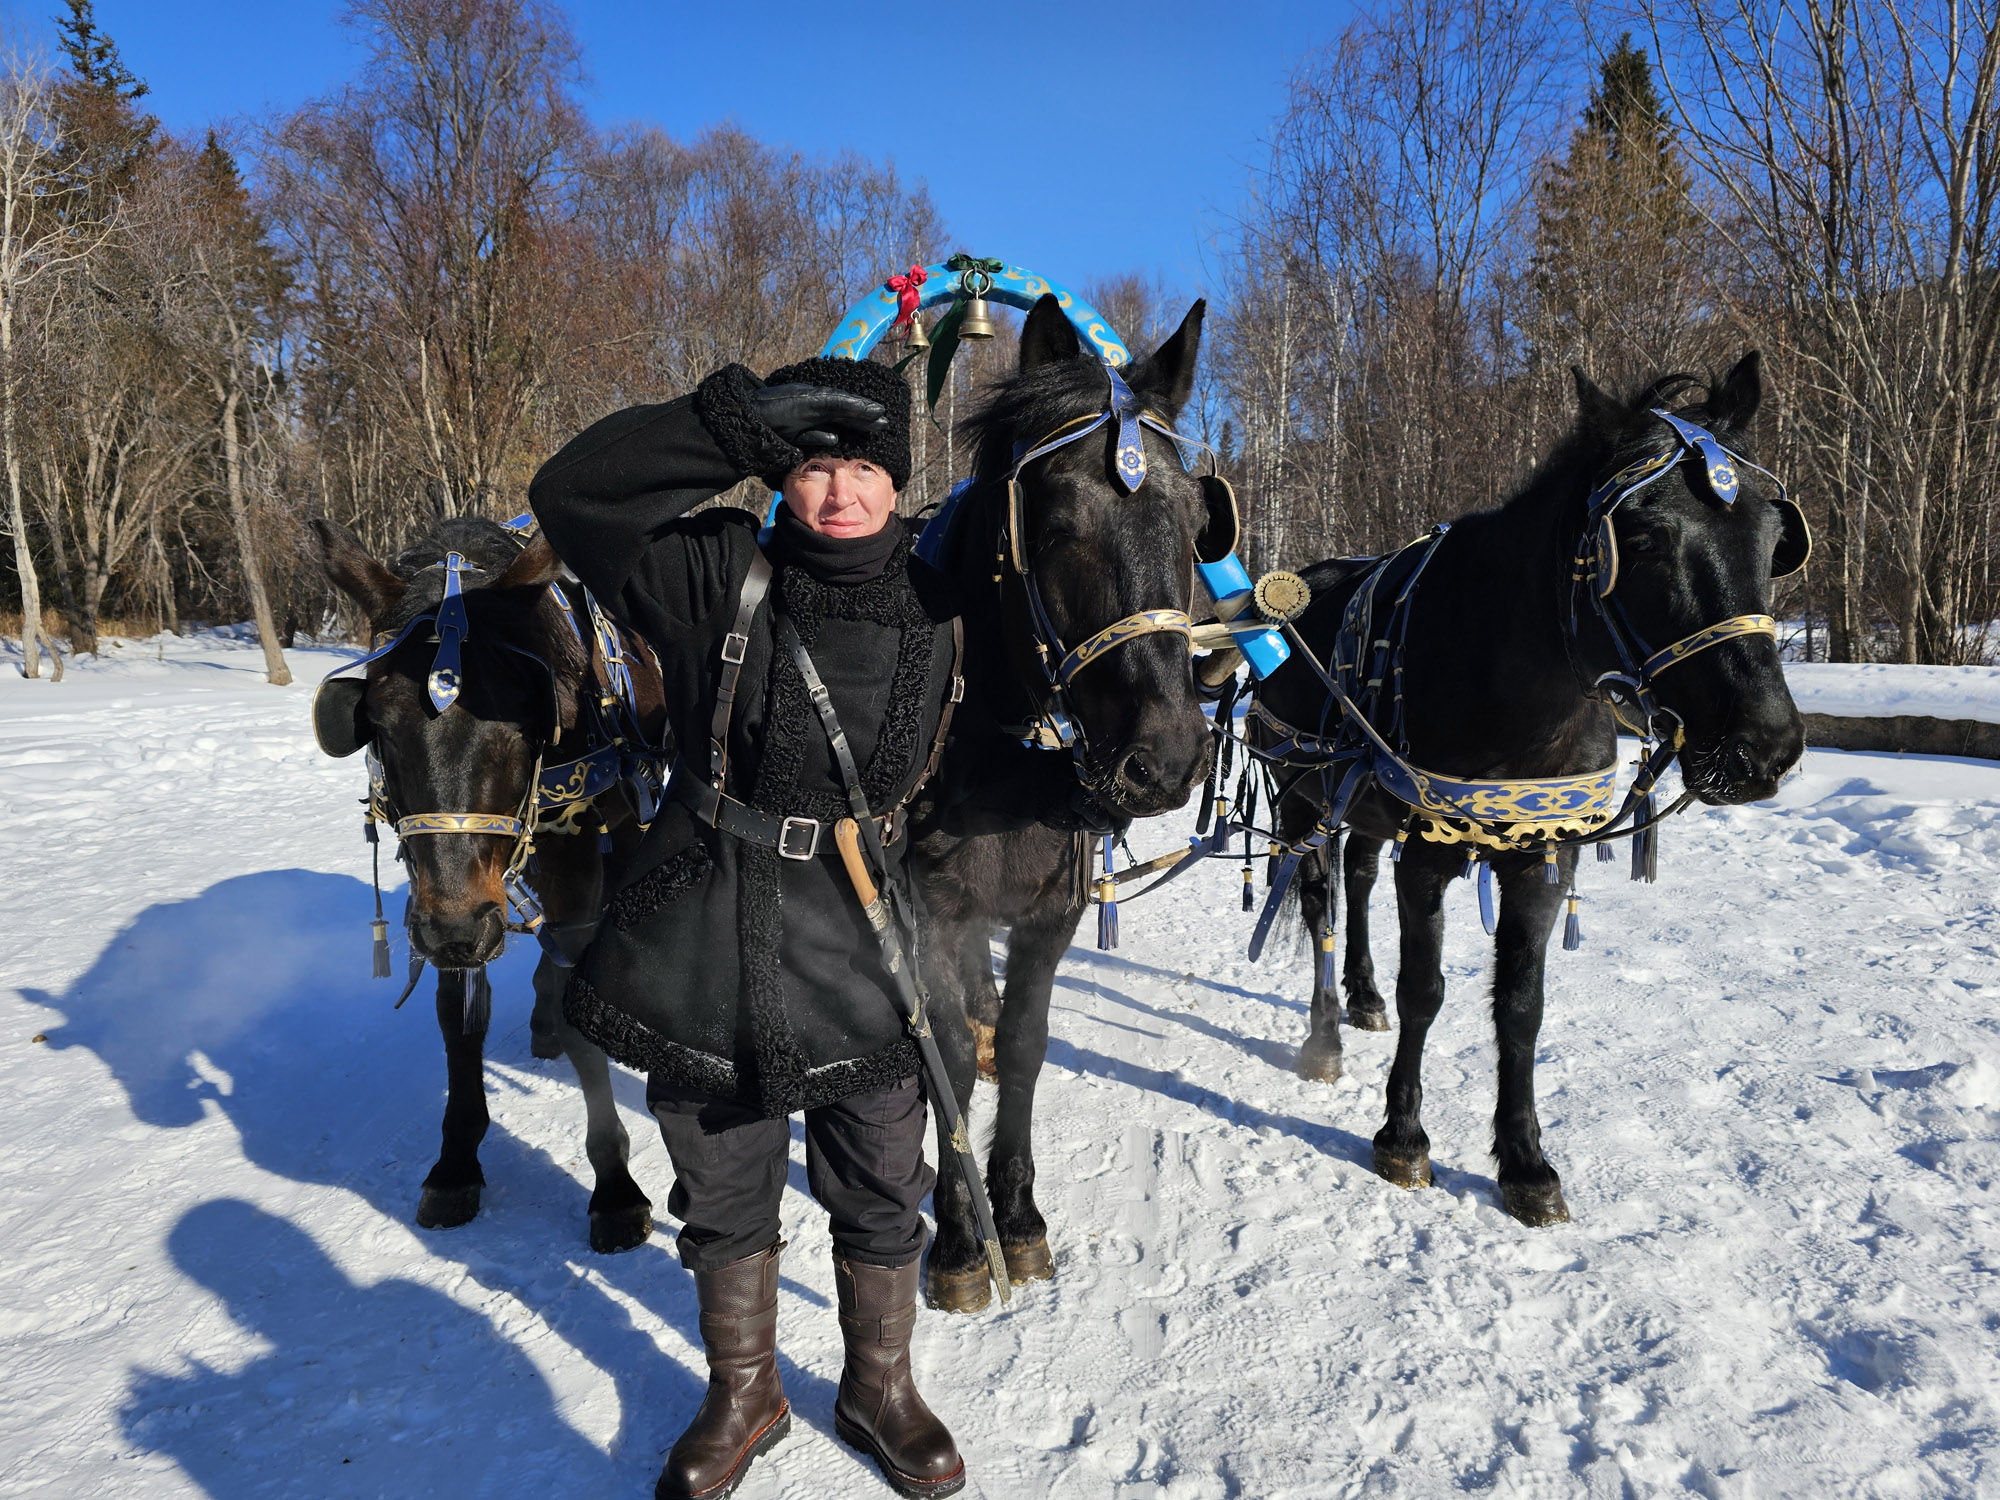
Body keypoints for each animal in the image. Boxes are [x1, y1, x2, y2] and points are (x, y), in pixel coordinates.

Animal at [314, 516, 664, 1256]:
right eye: (378, 726)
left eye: (530, 719)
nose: (459, 931)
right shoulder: (443, 900)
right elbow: (457, 1017)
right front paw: (456, 1162)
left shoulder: (568, 868)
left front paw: (614, 1184)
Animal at [912, 296, 1232, 1312]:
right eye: (1053, 524)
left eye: (1195, 522)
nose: (1168, 760)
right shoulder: (928, 910)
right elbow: (944, 1057)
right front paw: (962, 1235)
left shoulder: (1049, 915)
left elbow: (1023, 1044)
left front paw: (1015, 1214)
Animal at [1256, 358, 1808, 1224]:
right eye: (1640, 538)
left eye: (1775, 538)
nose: (1766, 744)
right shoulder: (1430, 853)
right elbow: (1427, 991)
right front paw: (1403, 1136)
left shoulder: (1545, 859)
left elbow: (1522, 1006)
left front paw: (1523, 1160)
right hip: (1303, 795)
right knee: (1318, 903)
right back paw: (1324, 1035)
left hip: (1365, 806)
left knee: (1358, 876)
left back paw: (1361, 994)